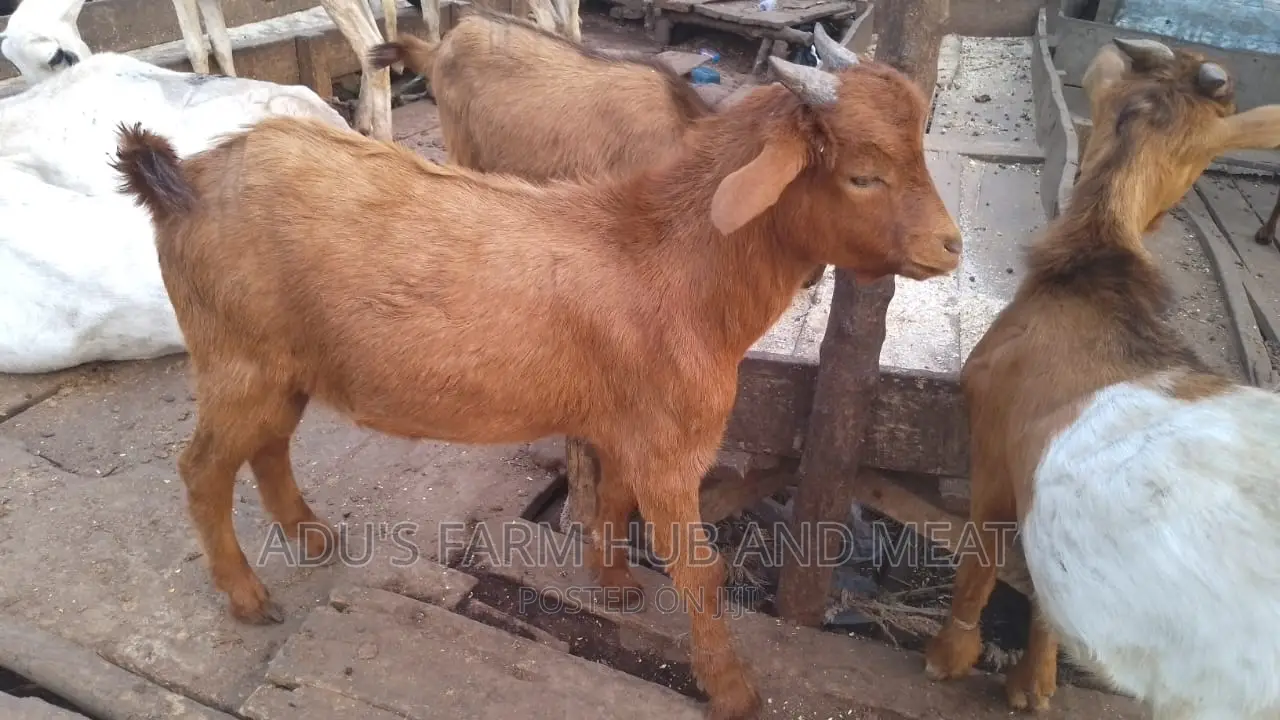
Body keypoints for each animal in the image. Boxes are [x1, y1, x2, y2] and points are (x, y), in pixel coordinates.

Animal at [112, 51, 960, 718]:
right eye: (863, 174)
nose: (950, 246)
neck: (670, 261)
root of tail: (187, 178)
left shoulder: (623, 425)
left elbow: (612, 502)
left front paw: (614, 586)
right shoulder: (671, 448)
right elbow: (700, 569)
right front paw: (732, 689)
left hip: (283, 366)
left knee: (269, 447)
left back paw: (312, 538)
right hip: (236, 362)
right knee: (202, 469)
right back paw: (247, 595)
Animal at [922, 37, 1280, 718]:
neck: (1094, 280)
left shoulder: (994, 449)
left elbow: (982, 561)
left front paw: (948, 658)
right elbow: (1045, 600)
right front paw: (1035, 684)